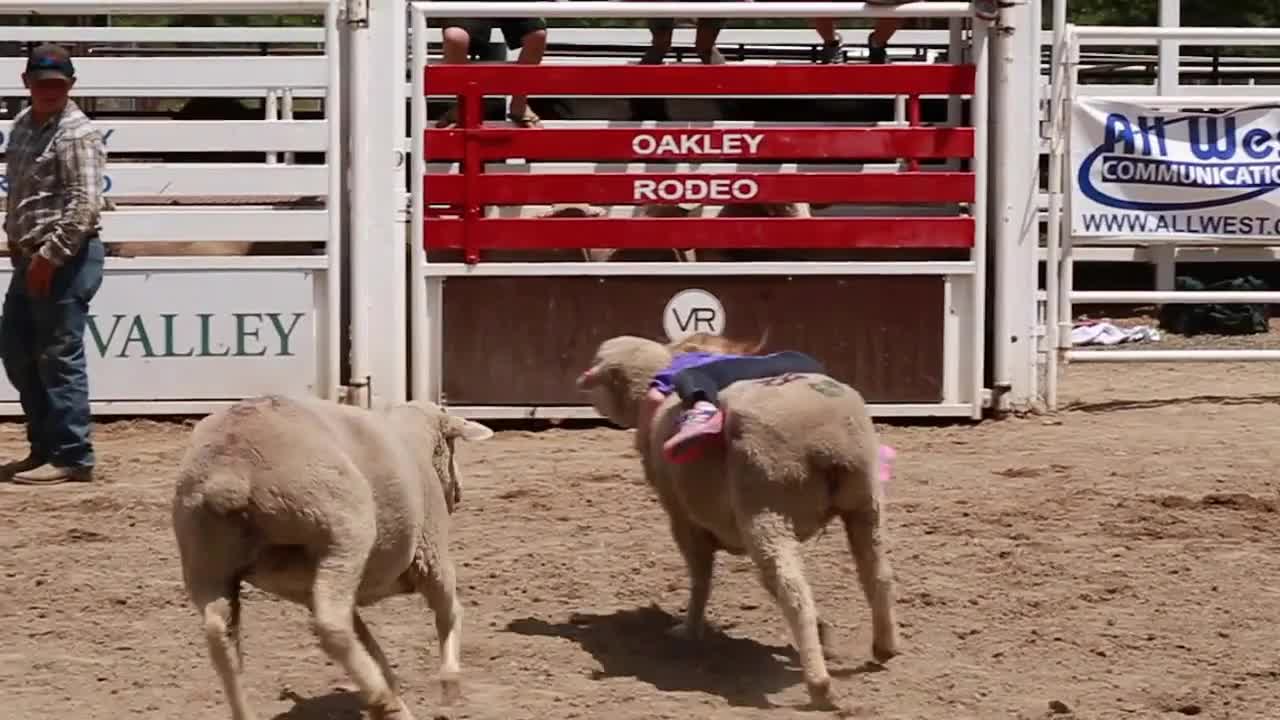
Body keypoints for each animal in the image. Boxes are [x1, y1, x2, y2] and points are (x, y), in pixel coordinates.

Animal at [170, 392, 488, 717]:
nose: (459, 492)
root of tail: (230, 469)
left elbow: (369, 642)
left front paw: (390, 682)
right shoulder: (431, 552)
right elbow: (449, 610)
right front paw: (449, 682)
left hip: (205, 562)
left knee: (220, 637)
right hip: (342, 534)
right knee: (332, 625)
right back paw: (384, 701)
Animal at [581, 335, 901, 707]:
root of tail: (828, 441)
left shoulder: (683, 519)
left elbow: (701, 577)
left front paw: (688, 629)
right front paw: (826, 635)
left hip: (765, 512)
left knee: (793, 591)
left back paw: (820, 685)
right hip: (864, 502)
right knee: (876, 574)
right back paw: (884, 647)